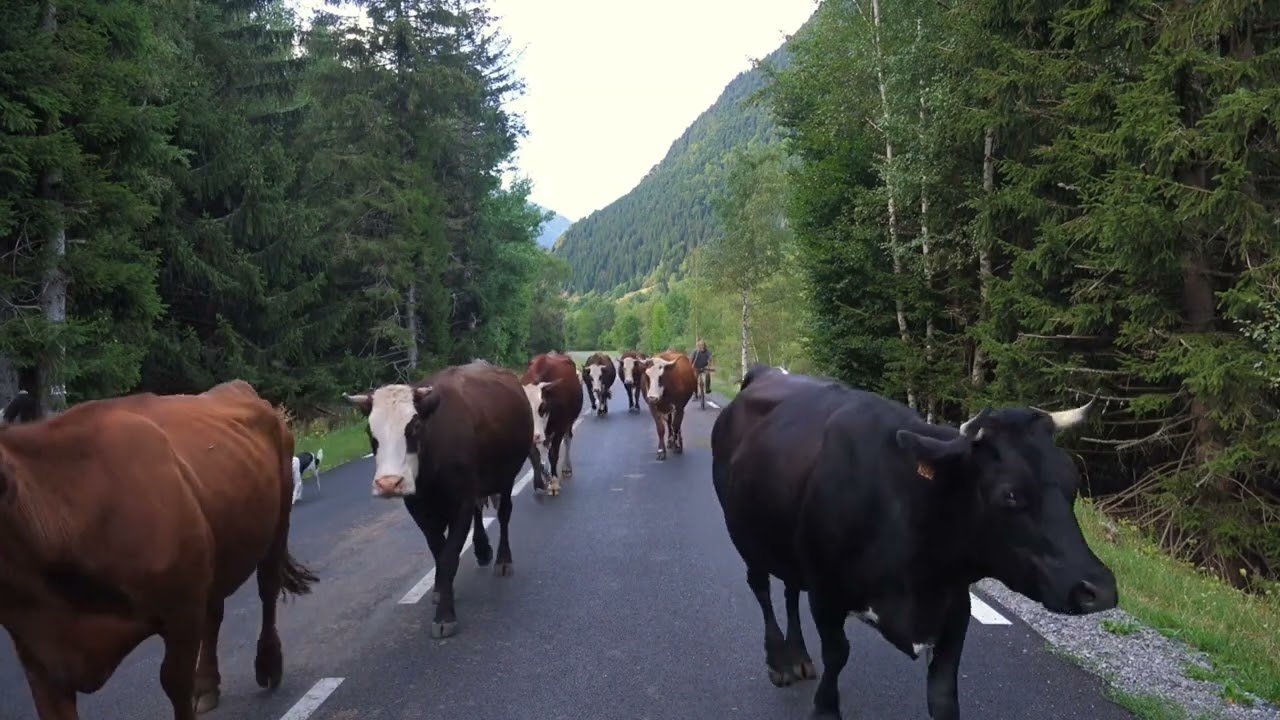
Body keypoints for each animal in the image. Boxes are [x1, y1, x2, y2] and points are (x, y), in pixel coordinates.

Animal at [0, 380, 317, 720]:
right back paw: (207, 685)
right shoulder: (39, 658)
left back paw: (268, 663)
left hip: (277, 525)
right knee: (215, 613)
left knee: (267, 589)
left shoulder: (181, 610)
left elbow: (174, 682)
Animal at [344, 360, 532, 639]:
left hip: (507, 476)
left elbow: (449, 555)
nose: (389, 483)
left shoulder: (461, 501)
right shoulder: (418, 507)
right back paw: (482, 550)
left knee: (504, 514)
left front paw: (444, 615)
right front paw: (442, 590)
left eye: (414, 427)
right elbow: (438, 551)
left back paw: (502, 560)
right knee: (479, 511)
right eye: (370, 431)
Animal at [521, 352, 584, 496]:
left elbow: (553, 453)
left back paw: (566, 467)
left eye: (542, 407)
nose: (535, 436)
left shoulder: (559, 427)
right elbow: (535, 456)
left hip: (568, 423)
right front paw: (539, 483)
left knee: (567, 439)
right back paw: (545, 473)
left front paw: (554, 483)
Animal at [710, 365, 1119, 720]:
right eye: (1010, 494)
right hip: (742, 533)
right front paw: (824, 709)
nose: (1099, 589)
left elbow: (943, 694)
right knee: (762, 589)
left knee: (790, 589)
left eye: (1073, 481)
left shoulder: (955, 608)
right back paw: (780, 661)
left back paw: (797, 656)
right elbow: (837, 655)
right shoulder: (826, 593)